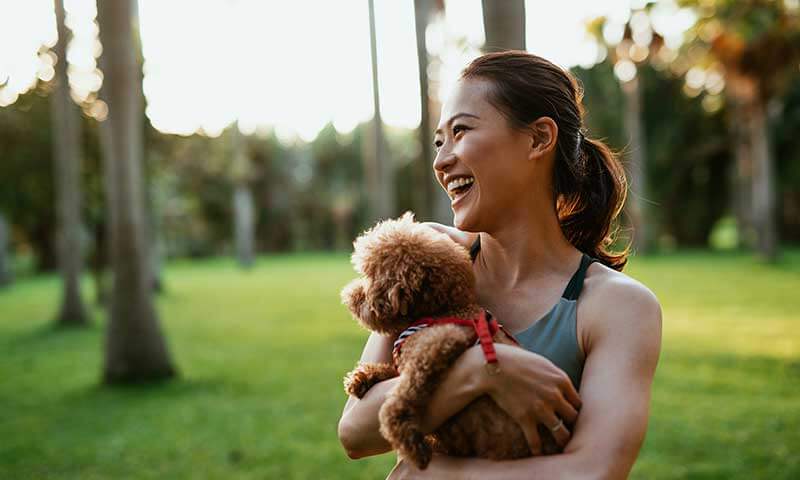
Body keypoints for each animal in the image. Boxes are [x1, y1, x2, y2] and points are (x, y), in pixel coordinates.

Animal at [340, 213, 560, 468]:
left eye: (369, 277)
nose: (348, 294)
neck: (442, 311)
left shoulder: (439, 344)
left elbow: (403, 393)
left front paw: (406, 439)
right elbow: (395, 373)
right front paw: (364, 377)